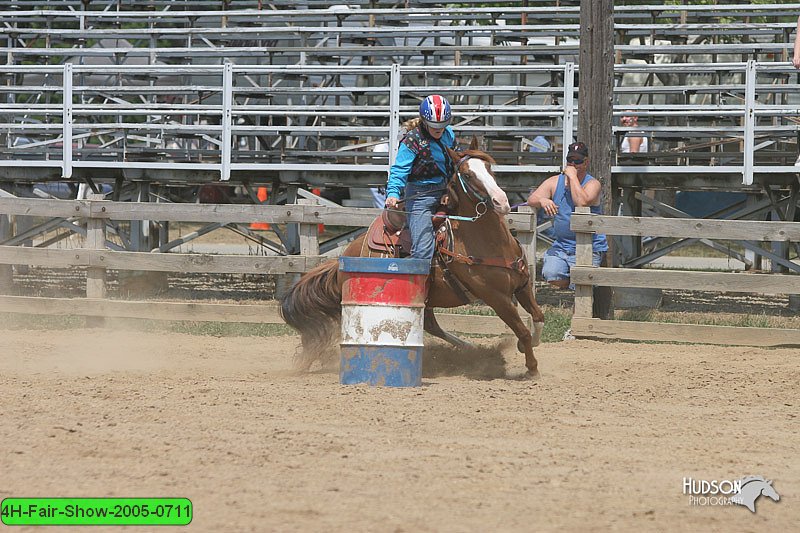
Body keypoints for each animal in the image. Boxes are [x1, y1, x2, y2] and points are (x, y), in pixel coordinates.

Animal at [278, 139, 548, 376]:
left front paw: (528, 347)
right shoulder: (496, 298)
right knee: (430, 325)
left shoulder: (522, 286)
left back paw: (473, 351)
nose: (501, 201)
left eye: (489, 168)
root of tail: (343, 256)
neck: (490, 243)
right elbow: (522, 330)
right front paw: (532, 367)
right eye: (468, 175)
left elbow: (537, 318)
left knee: (431, 325)